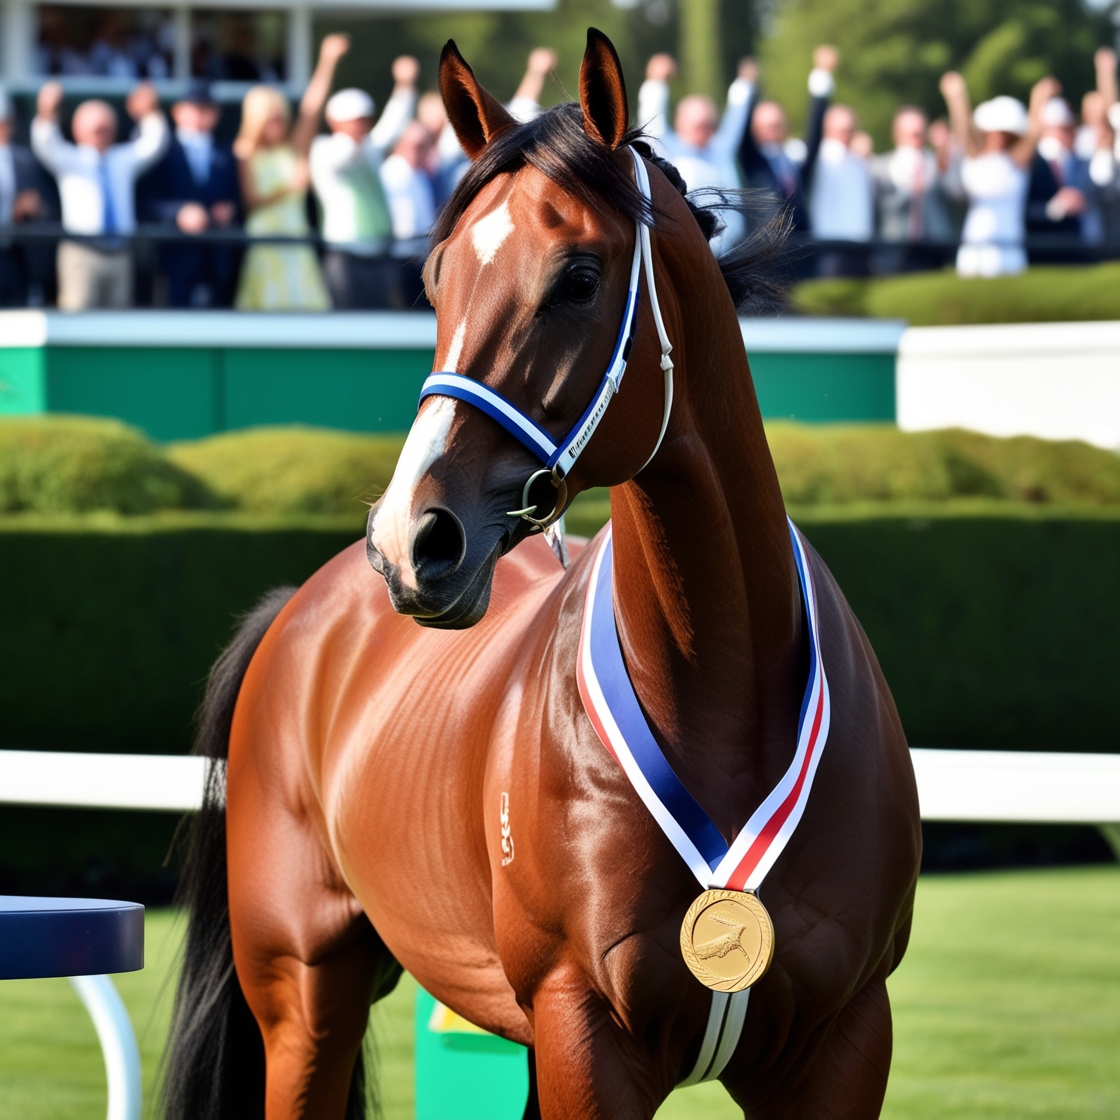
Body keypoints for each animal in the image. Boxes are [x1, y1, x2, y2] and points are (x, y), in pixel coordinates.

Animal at [165, 30, 921, 1120]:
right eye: (436, 278)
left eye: (578, 276)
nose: (412, 541)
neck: (725, 693)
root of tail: (299, 613)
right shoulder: (583, 1030)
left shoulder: (842, 1043)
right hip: (304, 993)